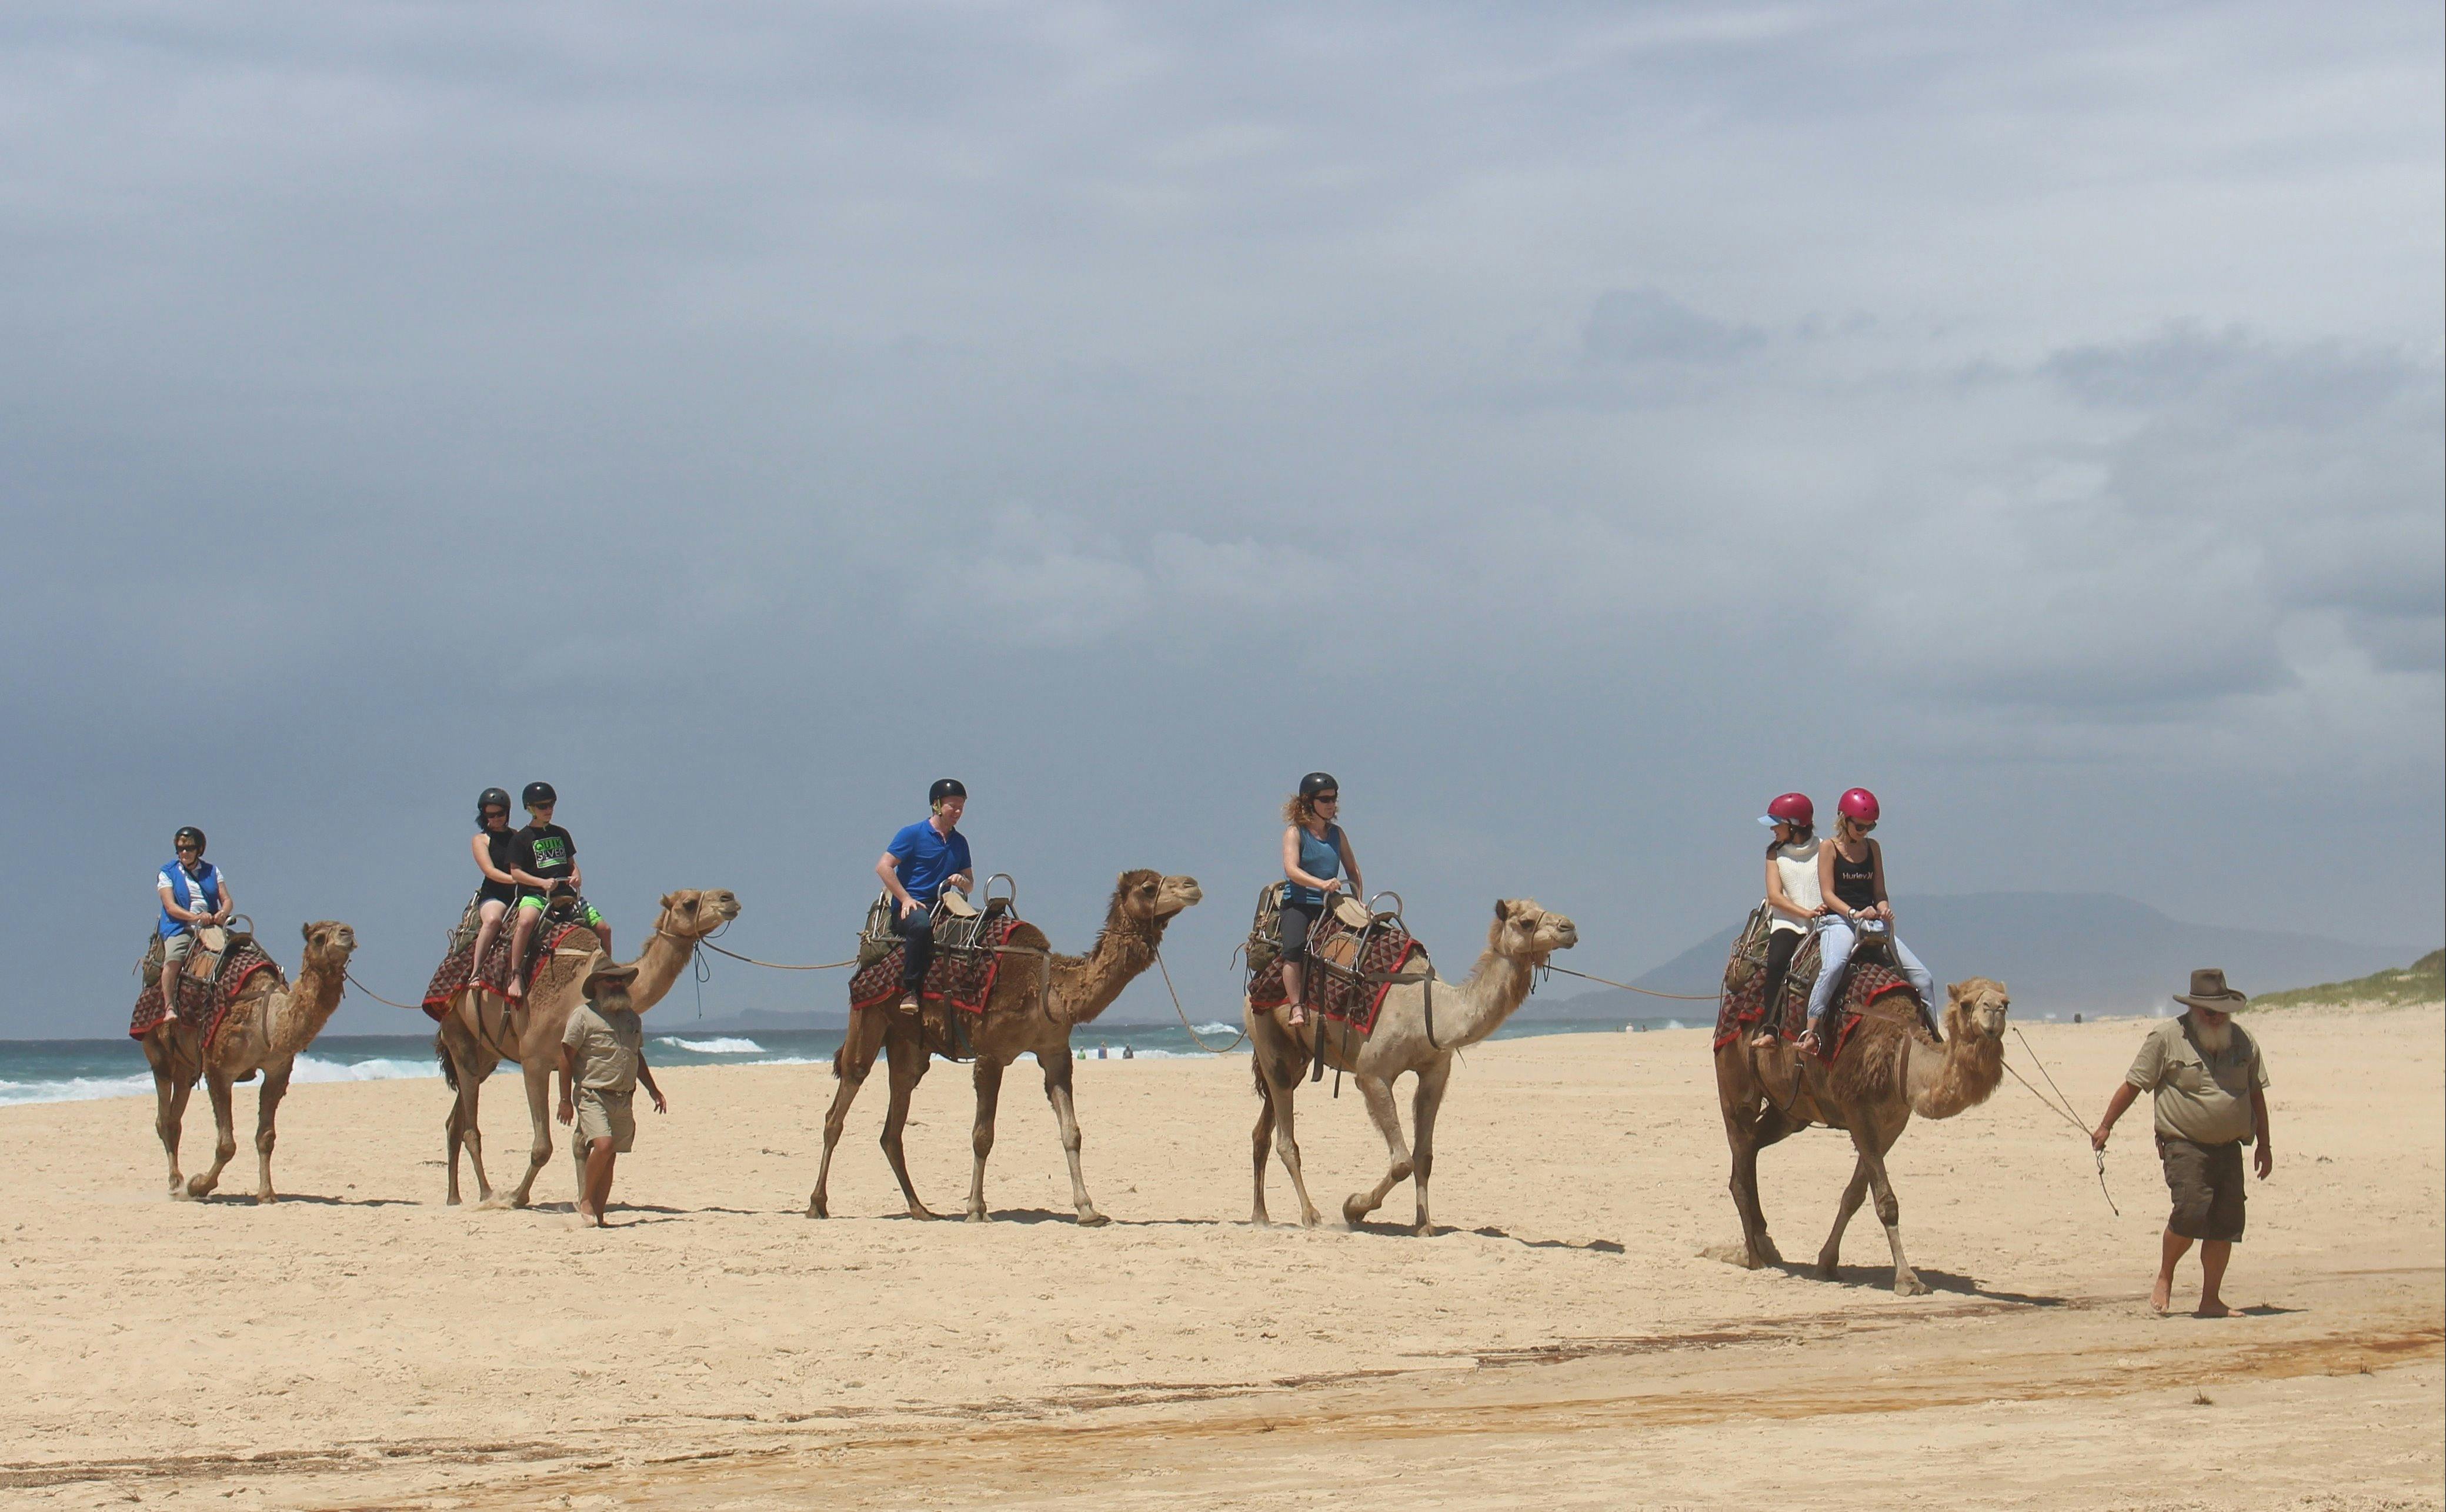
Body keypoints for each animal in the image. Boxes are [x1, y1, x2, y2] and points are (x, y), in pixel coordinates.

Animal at [141, 921, 359, 1203]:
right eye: (319, 938)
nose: (348, 933)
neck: (265, 1017)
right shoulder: (218, 1068)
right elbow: (227, 1145)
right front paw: (198, 1185)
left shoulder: (278, 1071)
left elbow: (266, 1137)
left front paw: (266, 1194)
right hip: (158, 1050)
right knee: (164, 1117)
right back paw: (176, 1183)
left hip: (186, 1066)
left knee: (175, 1115)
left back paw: (178, 1182)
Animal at [433, 888, 740, 1208]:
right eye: (689, 903)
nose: (729, 898)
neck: (578, 992)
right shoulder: (534, 1062)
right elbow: (543, 1147)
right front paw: (517, 1197)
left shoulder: (580, 1065)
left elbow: (581, 1144)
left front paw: (584, 1201)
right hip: (458, 1033)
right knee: (470, 1126)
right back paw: (487, 1194)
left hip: (488, 1056)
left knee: (455, 1121)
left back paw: (454, 1197)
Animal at [807, 869, 1202, 1226]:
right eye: (1149, 886)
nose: (1193, 885)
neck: (1047, 987)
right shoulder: (990, 1054)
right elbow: (983, 1136)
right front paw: (975, 1210)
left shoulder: (1055, 1052)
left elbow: (1071, 1132)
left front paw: (1088, 1210)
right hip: (867, 1014)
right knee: (841, 1103)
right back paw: (817, 1205)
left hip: (908, 1044)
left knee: (894, 1120)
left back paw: (921, 1210)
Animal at [1245, 898, 1579, 1236]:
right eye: (1525, 922)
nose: (1570, 928)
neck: (1430, 1011)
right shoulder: (1372, 1074)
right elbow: (1402, 1162)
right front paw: (1353, 1207)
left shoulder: (1435, 1073)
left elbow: (1424, 1157)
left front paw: (1424, 1225)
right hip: (1266, 1037)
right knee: (1286, 1140)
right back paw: (1310, 1215)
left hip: (1299, 1059)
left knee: (1263, 1131)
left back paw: (1260, 1215)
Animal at [1714, 976, 2010, 1295]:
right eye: (1967, 1004)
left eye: (2006, 1003)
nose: (1994, 1011)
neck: (1900, 1058)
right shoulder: (1858, 1111)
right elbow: (1886, 1203)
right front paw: (1907, 1279)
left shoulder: (1893, 1123)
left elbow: (1854, 1196)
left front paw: (1827, 1264)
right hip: (1734, 1085)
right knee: (1741, 1155)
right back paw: (1755, 1258)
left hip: (1790, 1113)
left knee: (1752, 1149)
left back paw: (1764, 1244)